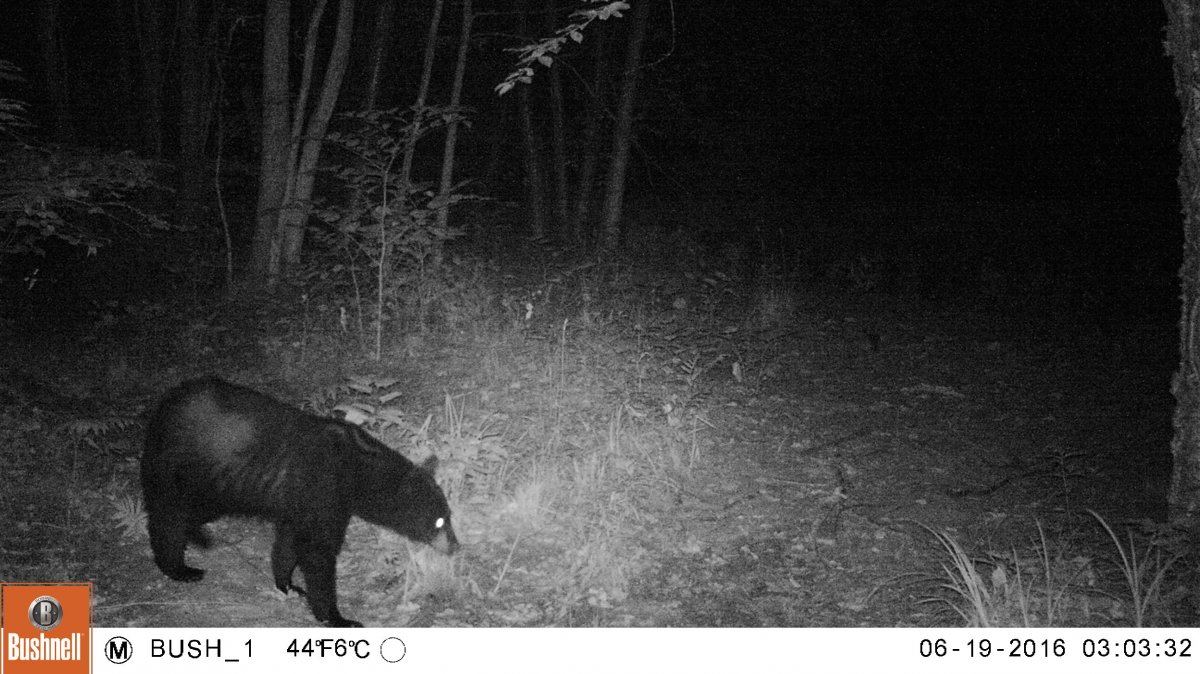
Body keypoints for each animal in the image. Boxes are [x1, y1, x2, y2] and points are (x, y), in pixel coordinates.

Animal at [141, 377, 459, 627]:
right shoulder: (323, 488)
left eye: (449, 515)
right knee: (170, 514)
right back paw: (178, 568)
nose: (456, 546)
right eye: (439, 520)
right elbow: (317, 552)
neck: (356, 470)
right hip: (187, 468)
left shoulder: (300, 501)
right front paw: (337, 617)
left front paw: (287, 584)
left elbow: (289, 542)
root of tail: (163, 407)